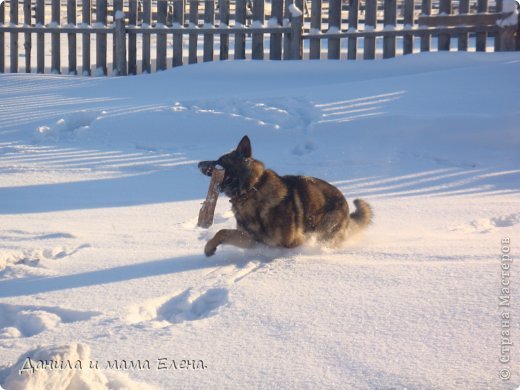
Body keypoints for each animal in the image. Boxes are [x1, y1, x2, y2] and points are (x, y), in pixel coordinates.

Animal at [197, 136, 372, 258]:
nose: (198, 163)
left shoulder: (293, 242)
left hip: (324, 231)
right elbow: (222, 232)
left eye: (220, 161)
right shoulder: (252, 239)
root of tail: (345, 203)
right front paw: (209, 247)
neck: (252, 190)